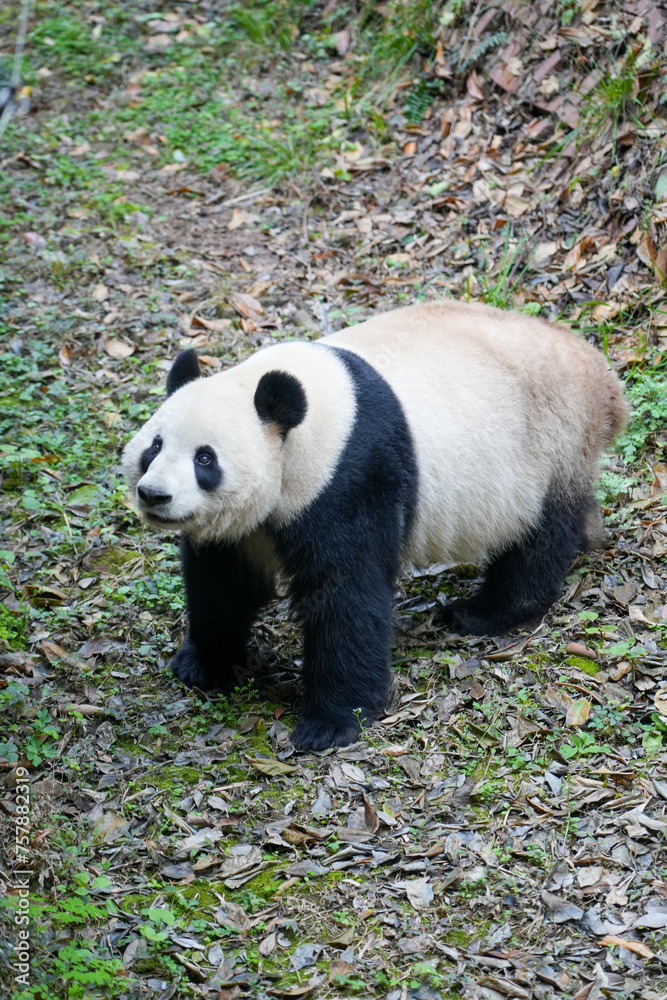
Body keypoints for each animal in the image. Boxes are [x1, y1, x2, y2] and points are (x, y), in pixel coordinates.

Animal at [122, 300, 627, 751]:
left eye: (205, 459)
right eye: (155, 446)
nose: (155, 495)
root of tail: (601, 375)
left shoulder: (350, 473)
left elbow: (347, 592)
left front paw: (330, 723)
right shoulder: (244, 527)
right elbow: (224, 582)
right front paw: (202, 663)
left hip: (551, 440)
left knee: (538, 537)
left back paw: (483, 612)